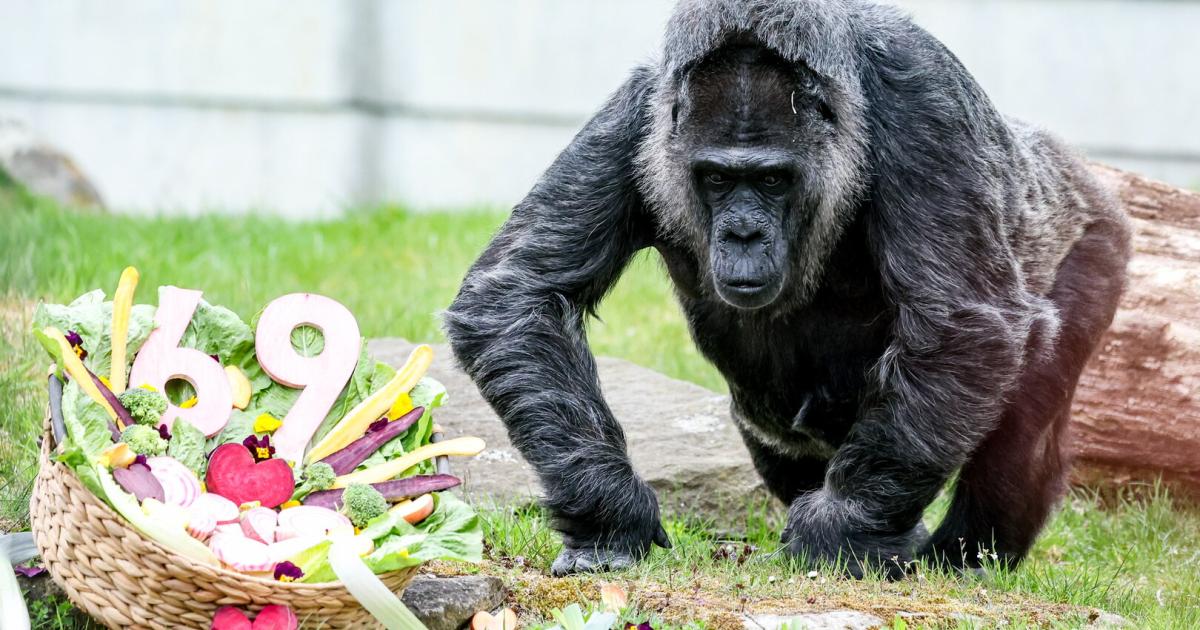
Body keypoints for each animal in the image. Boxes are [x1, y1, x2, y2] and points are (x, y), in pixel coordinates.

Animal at [444, 0, 1131, 578]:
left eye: (773, 180)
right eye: (717, 179)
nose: (744, 234)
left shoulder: (921, 98)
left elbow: (964, 323)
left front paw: (839, 535)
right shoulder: (640, 113)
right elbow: (519, 292)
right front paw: (610, 517)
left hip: (1098, 243)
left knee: (1021, 426)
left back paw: (965, 557)